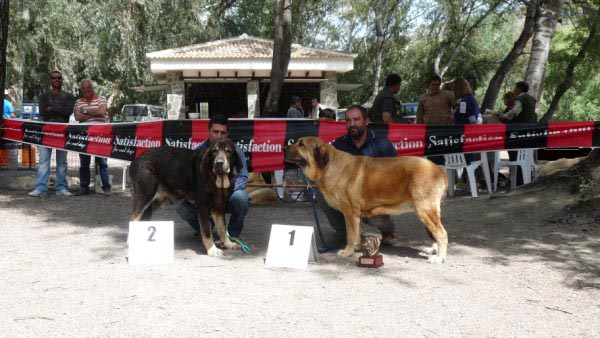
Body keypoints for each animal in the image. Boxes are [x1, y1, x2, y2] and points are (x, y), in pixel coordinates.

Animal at [286, 136, 450, 262]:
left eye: (301, 144)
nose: (285, 148)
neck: (327, 166)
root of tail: (439, 169)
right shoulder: (354, 215)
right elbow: (356, 233)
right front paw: (358, 248)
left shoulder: (349, 212)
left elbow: (351, 235)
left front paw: (347, 252)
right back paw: (433, 250)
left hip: (425, 210)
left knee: (442, 234)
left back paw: (439, 258)